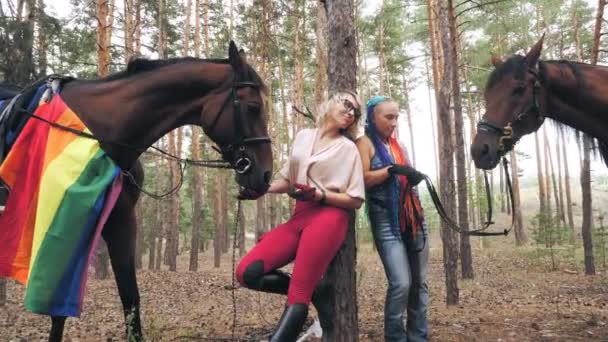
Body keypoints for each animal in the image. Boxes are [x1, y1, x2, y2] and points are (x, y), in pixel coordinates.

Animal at [5, 41, 272, 340]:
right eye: (253, 107)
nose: (265, 174)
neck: (100, 131)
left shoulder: (121, 221)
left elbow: (130, 297)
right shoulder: (63, 226)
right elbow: (58, 312)